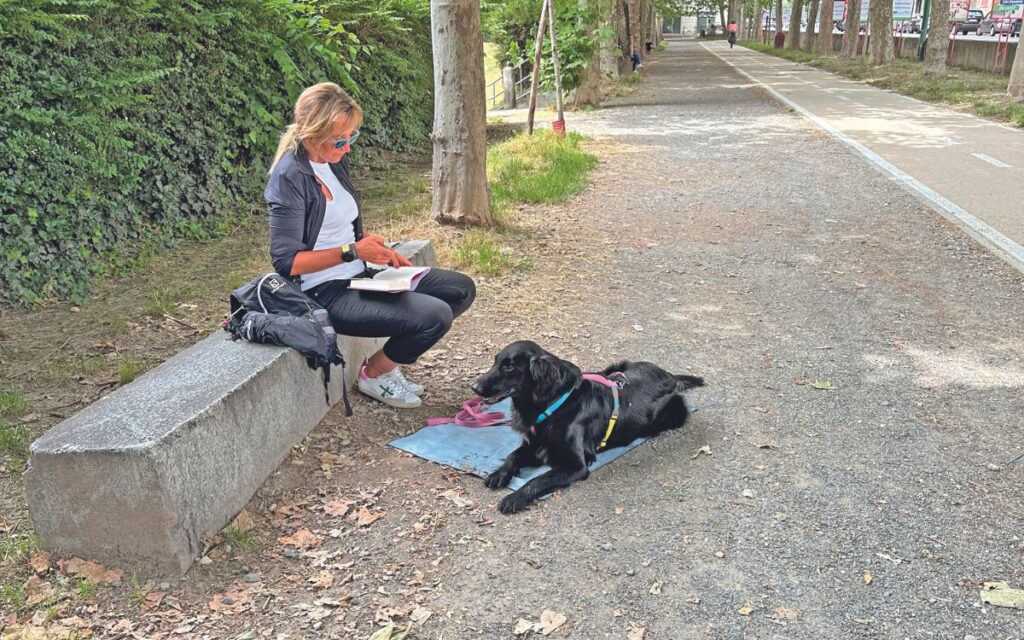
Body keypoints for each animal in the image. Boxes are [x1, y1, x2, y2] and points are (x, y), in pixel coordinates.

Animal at [471, 339, 704, 514]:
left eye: (509, 366)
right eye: (495, 361)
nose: (474, 387)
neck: (555, 403)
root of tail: (669, 375)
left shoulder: (575, 465)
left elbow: (537, 480)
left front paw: (514, 498)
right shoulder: (534, 444)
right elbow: (513, 455)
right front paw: (499, 473)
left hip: (671, 414)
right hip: (612, 369)